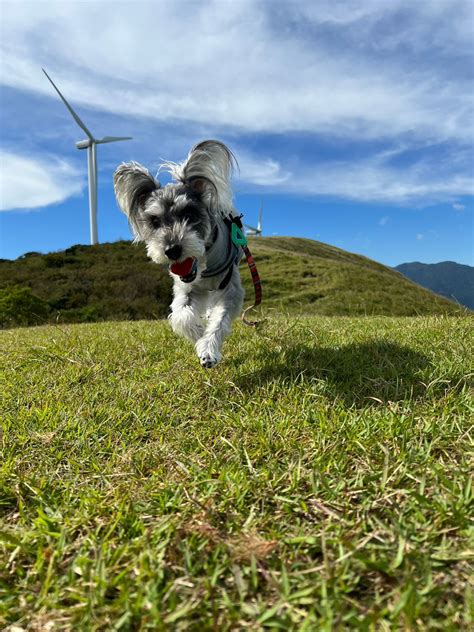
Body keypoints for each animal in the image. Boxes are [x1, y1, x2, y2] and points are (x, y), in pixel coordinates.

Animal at [112, 141, 244, 368]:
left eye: (189, 214)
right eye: (155, 221)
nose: (172, 250)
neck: (204, 266)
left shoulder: (231, 289)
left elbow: (220, 320)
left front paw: (209, 349)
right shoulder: (185, 290)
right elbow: (181, 316)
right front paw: (199, 336)